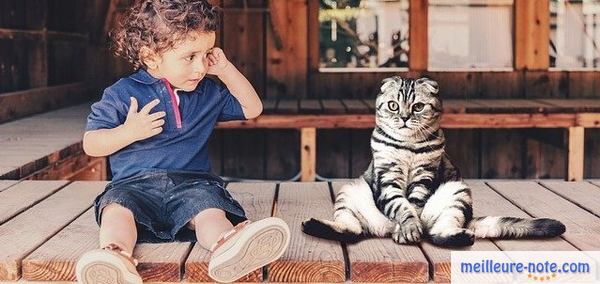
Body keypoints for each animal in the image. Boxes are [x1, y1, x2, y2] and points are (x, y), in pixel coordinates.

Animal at [302, 75, 564, 246]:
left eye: (418, 107)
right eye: (393, 105)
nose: (404, 117)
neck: (407, 147)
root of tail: (384, 229)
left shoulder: (424, 175)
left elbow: (413, 205)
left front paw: (409, 228)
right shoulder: (387, 177)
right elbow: (401, 205)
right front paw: (407, 227)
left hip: (457, 193)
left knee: (437, 233)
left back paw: (460, 236)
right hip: (350, 191)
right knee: (351, 230)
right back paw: (312, 225)